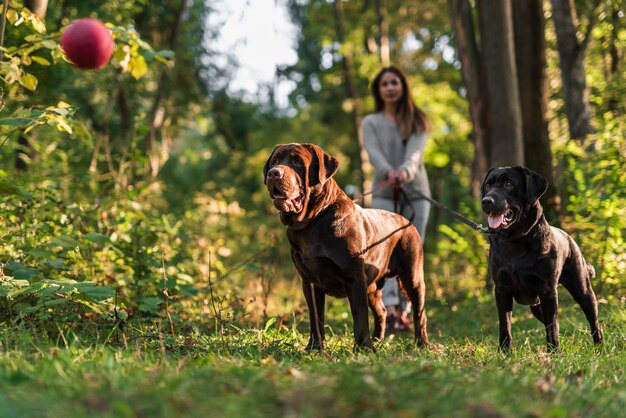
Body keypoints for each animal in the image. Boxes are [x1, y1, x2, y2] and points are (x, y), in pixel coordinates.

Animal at [264, 144, 428, 350]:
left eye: (297, 162)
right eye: (275, 161)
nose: (273, 173)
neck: (313, 222)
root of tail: (407, 221)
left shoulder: (355, 277)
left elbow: (360, 316)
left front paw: (364, 348)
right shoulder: (309, 281)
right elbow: (316, 317)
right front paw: (314, 347)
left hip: (412, 277)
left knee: (419, 312)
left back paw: (421, 343)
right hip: (372, 286)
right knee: (381, 311)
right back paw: (378, 339)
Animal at [480, 165, 604, 352]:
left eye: (509, 184)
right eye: (488, 185)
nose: (486, 201)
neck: (515, 240)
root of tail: (568, 236)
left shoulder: (548, 291)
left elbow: (552, 326)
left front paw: (554, 353)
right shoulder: (502, 289)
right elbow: (505, 325)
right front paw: (505, 352)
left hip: (582, 289)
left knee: (594, 322)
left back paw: (599, 349)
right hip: (536, 306)